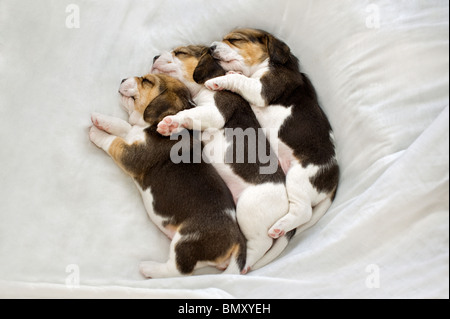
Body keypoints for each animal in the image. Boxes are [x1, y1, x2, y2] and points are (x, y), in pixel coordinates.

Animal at [88, 74, 248, 278]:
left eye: (146, 81)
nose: (123, 78)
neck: (152, 125)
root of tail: (237, 237)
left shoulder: (132, 156)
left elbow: (113, 141)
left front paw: (96, 132)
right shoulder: (132, 134)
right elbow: (123, 126)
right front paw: (101, 119)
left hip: (186, 240)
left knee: (178, 270)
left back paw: (149, 268)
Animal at [152, 46, 296, 272]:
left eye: (180, 52)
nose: (154, 57)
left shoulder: (214, 110)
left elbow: (191, 114)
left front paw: (171, 122)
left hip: (248, 209)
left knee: (259, 245)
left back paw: (241, 266)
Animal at [207, 30, 338, 239]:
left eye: (235, 39)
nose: (210, 48)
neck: (270, 63)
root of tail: (334, 178)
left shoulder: (261, 89)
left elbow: (241, 81)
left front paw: (218, 80)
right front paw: (233, 73)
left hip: (298, 177)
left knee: (303, 211)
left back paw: (280, 227)